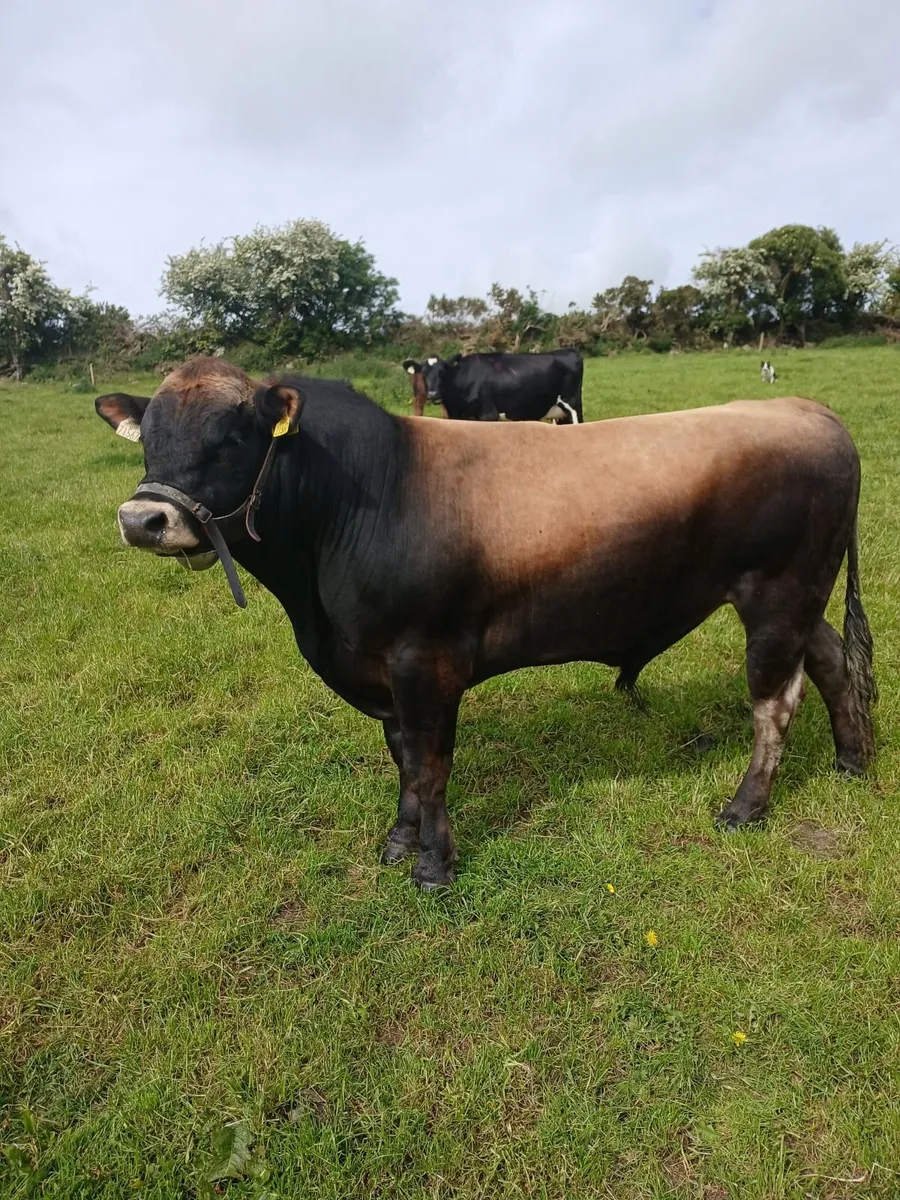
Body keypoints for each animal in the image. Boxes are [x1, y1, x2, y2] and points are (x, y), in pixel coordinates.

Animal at [403, 349, 584, 424]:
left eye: (443, 372)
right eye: (423, 373)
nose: (433, 394)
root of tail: (569, 351)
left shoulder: (488, 415)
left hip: (573, 407)